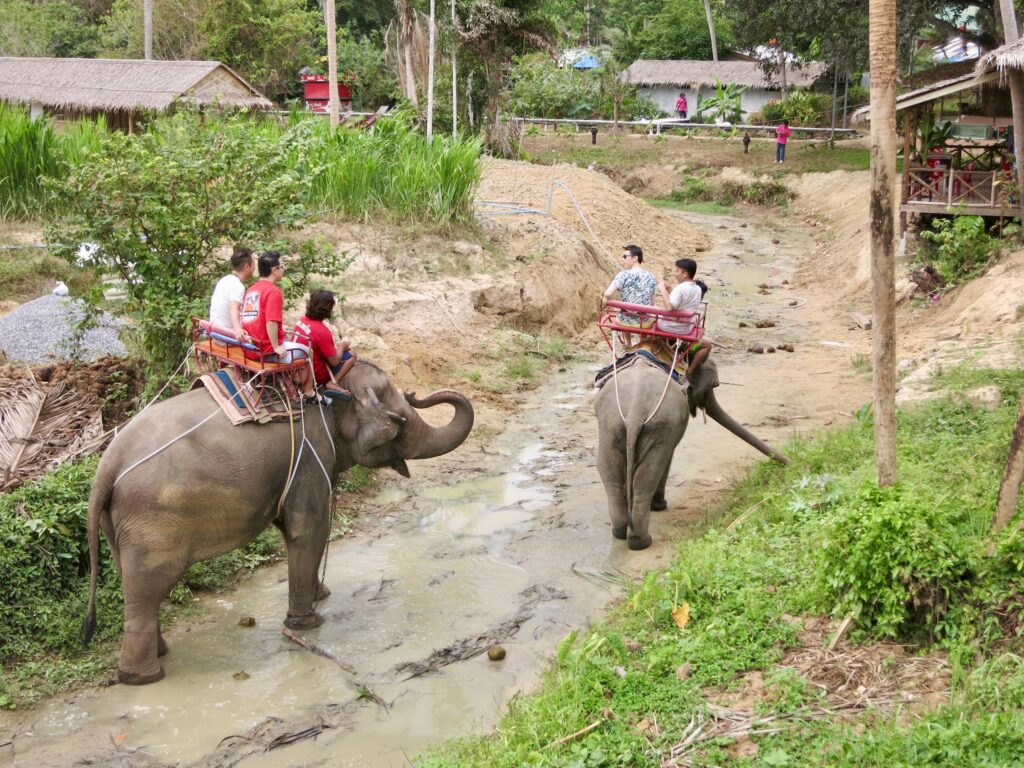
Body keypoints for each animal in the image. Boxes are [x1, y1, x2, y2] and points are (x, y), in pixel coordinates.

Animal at [83, 360, 475, 684]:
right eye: (400, 421)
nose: (415, 393)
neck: (330, 389)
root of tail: (106, 467)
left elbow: (300, 529)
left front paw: (321, 597)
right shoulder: (311, 450)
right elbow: (309, 529)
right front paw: (308, 623)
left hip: (119, 524)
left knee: (135, 586)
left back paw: (157, 655)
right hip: (151, 522)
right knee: (149, 588)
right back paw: (144, 677)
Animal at [593, 360, 782, 552]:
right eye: (713, 385)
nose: (786, 464)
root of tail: (635, 412)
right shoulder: (673, 427)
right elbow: (668, 457)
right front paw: (659, 506)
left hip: (611, 425)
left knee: (610, 473)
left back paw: (620, 532)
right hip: (653, 423)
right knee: (648, 475)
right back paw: (642, 541)